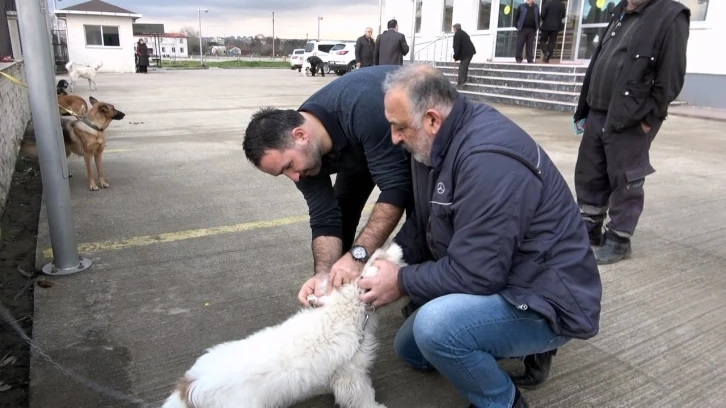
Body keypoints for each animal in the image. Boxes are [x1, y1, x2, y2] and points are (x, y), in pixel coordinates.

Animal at [162, 244, 410, 406]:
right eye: (396, 275)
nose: (408, 287)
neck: (345, 309)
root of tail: (189, 389)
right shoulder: (351, 377)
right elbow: (363, 397)